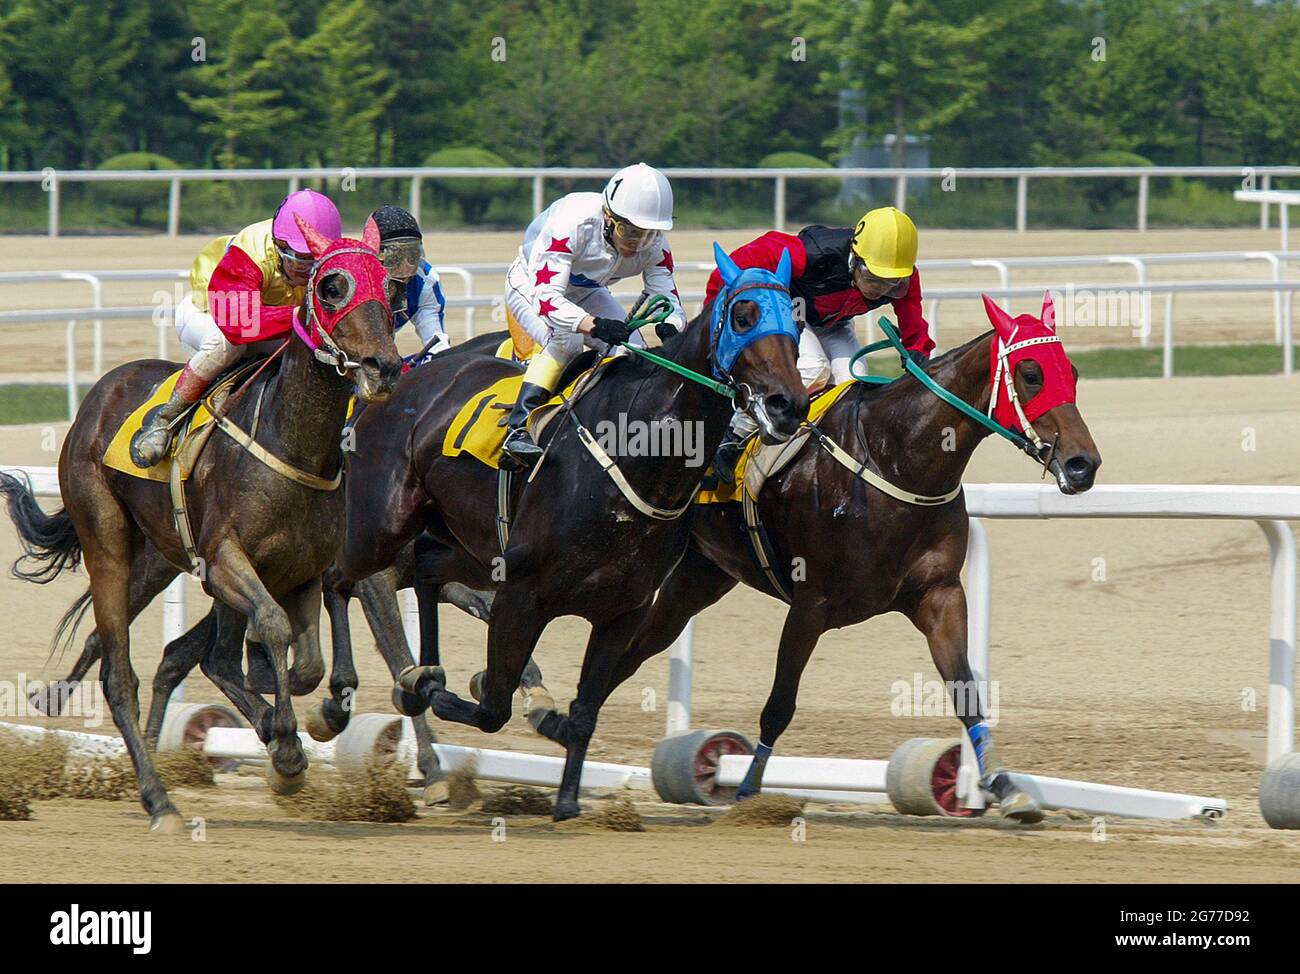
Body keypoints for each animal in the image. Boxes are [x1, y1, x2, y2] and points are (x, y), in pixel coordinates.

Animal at [0, 215, 401, 832]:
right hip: (108, 541)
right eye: (332, 286)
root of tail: (101, 390)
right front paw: (285, 745)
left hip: (158, 557)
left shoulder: (303, 571)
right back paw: (157, 798)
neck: (293, 444)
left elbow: (305, 663)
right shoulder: (224, 560)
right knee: (120, 674)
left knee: (136, 644)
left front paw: (295, 728)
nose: (384, 368)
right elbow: (272, 630)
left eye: (390, 286)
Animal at [338, 245, 809, 820]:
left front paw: (565, 798)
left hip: (464, 547)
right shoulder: (522, 594)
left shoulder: (623, 610)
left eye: (798, 320)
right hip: (381, 533)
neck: (636, 455)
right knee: (339, 580)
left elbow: (585, 709)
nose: (790, 404)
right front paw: (448, 697)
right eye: (743, 316)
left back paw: (422, 675)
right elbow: (493, 706)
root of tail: (400, 378)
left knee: (427, 569)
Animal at [526, 292, 1102, 821]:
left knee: (629, 655)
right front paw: (748, 790)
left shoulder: (938, 594)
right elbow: (780, 705)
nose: (1084, 465)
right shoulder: (811, 603)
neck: (894, 459)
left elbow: (966, 692)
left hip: (696, 580)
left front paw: (1007, 788)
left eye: (1072, 372)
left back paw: (558, 723)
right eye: (1031, 373)